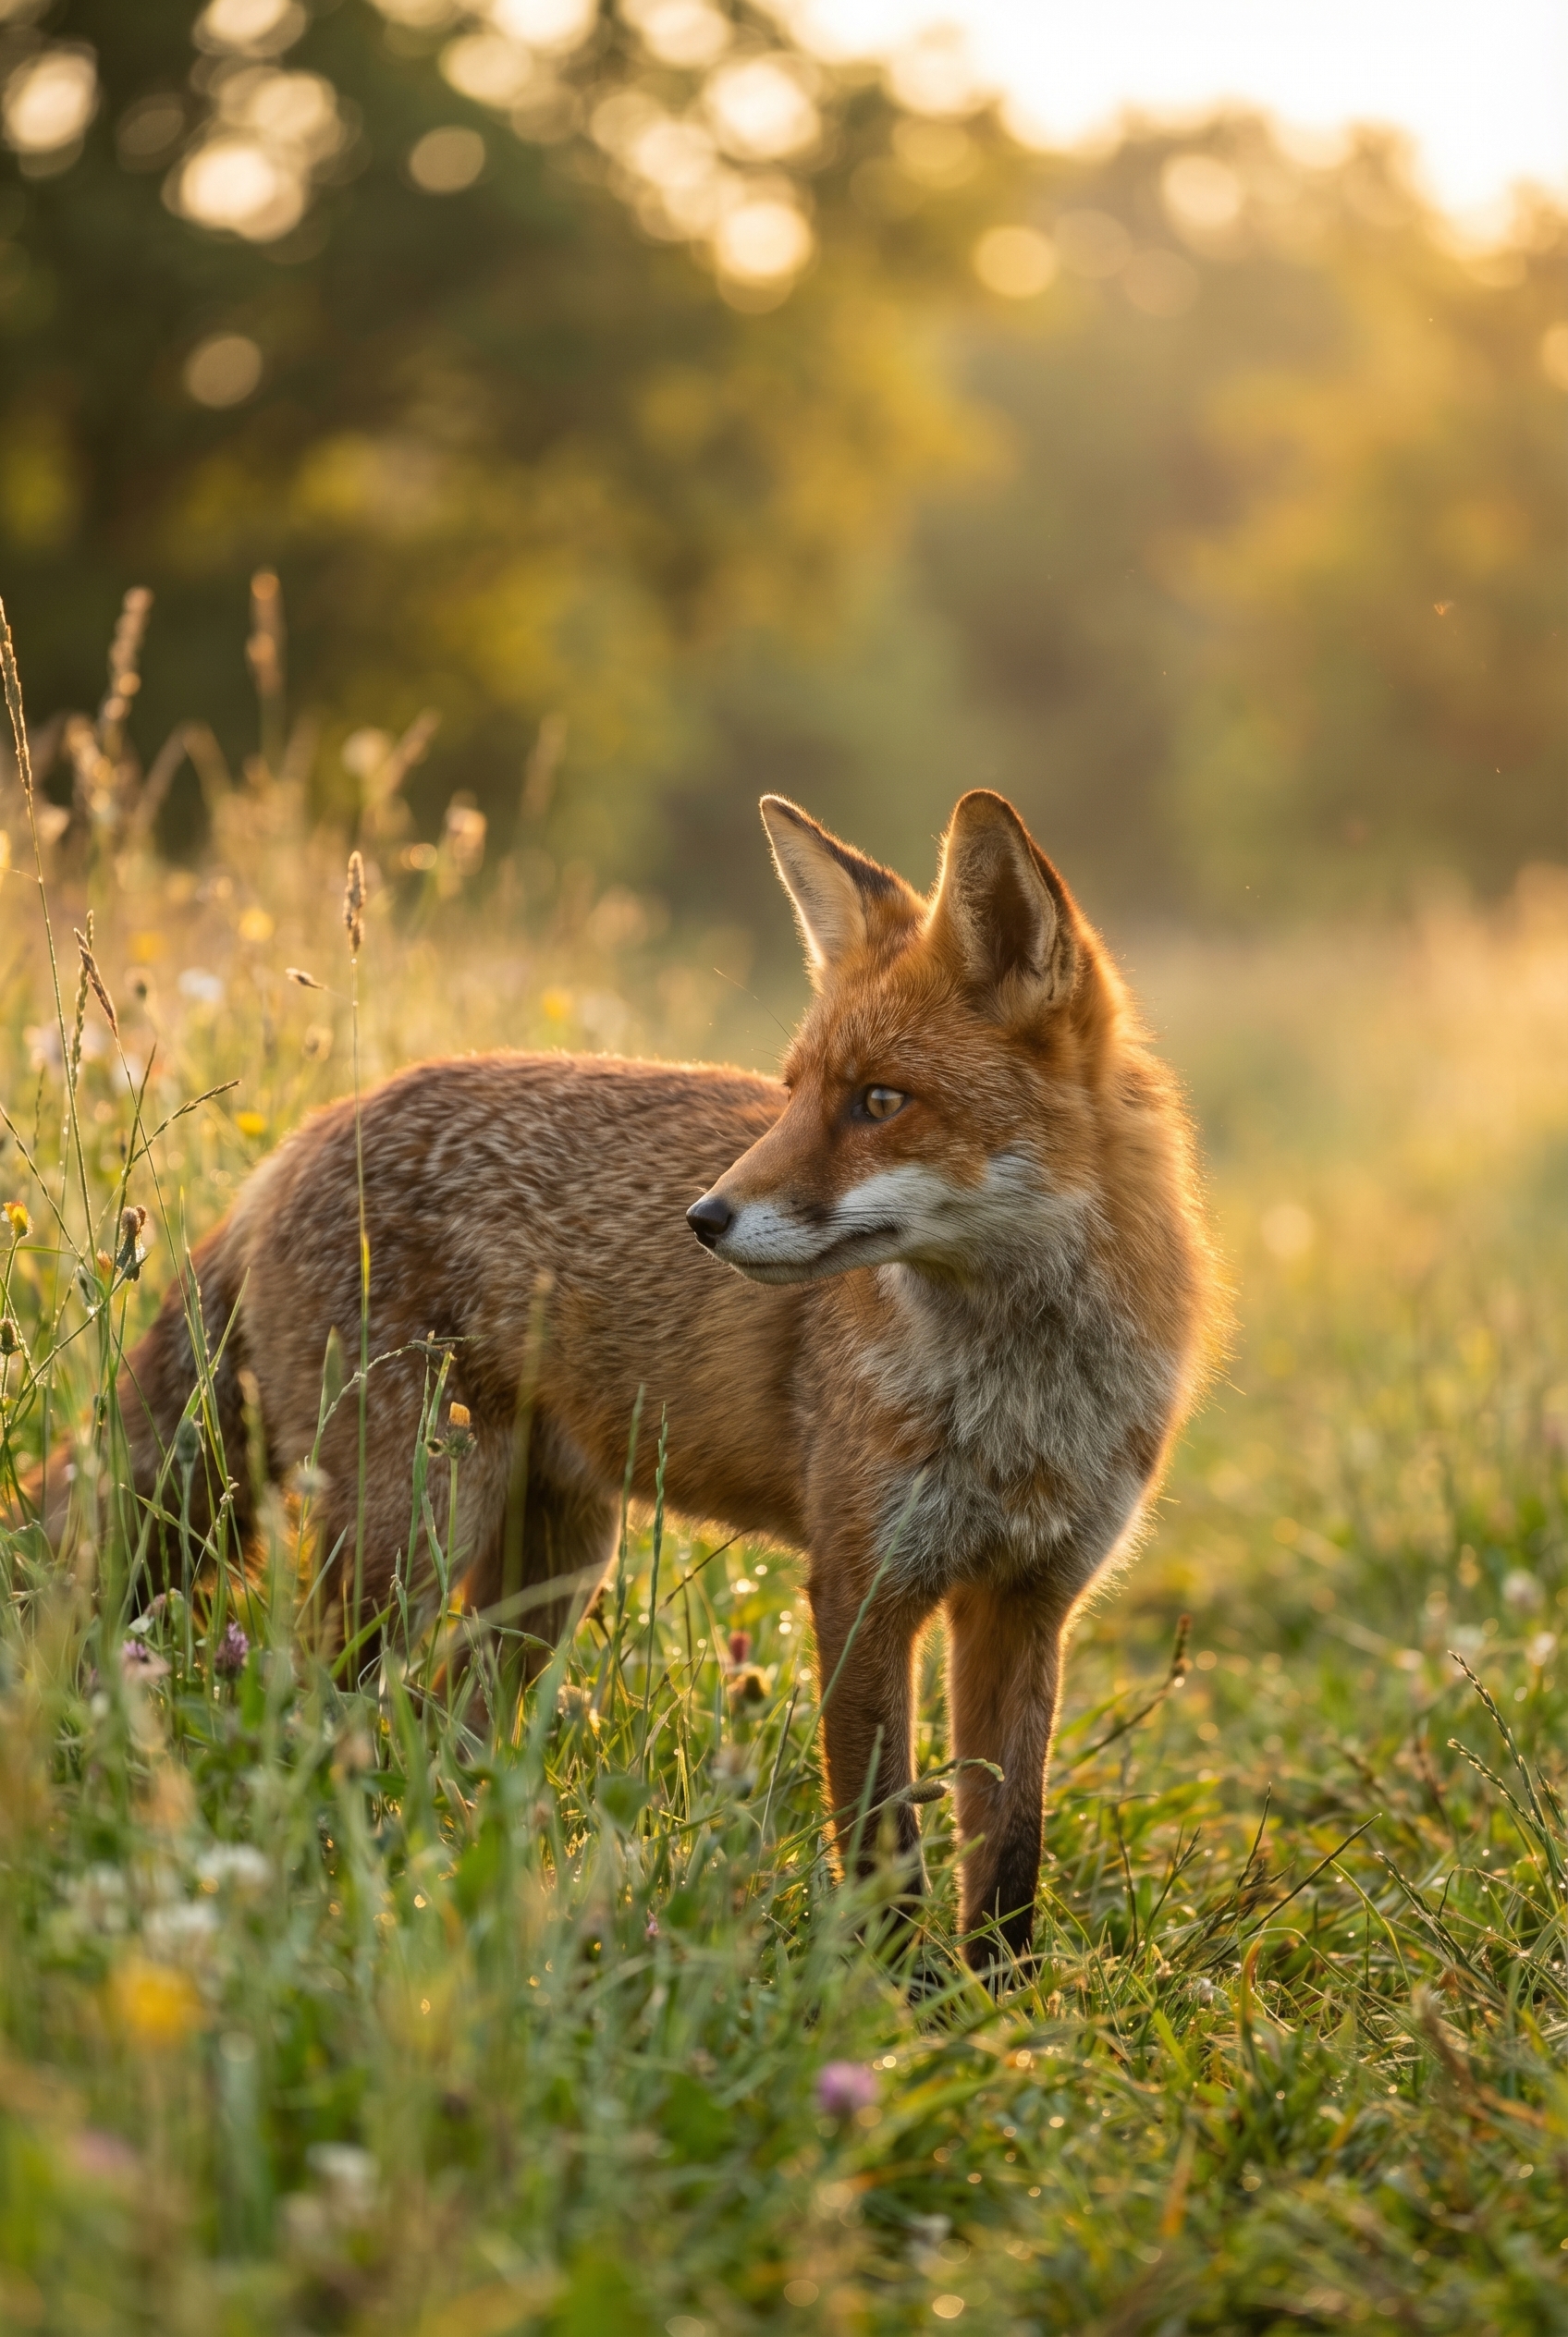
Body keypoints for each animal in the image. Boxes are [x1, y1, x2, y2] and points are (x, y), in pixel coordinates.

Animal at [29, 788, 1213, 1963]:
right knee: (316, 1709)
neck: (1023, 1392)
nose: (703, 1217)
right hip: (410, 1542)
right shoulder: (861, 1585)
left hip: (548, 1567)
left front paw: (995, 1999)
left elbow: (1009, 1848)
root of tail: (301, 1137)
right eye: (792, 1092)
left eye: (880, 1101)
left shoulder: (1027, 1600)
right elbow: (883, 1840)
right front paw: (891, 1997)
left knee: (440, 1726)